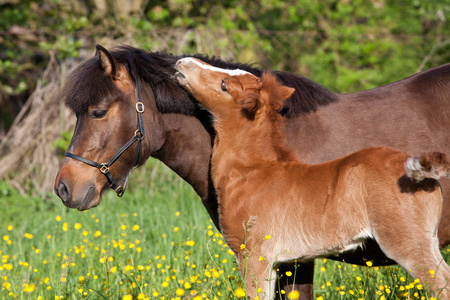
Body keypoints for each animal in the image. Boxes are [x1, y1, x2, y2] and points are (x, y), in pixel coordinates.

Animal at [174, 57, 450, 298]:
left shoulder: (254, 256)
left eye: (224, 85)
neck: (251, 171)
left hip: (408, 244)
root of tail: (420, 173)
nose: (183, 62)